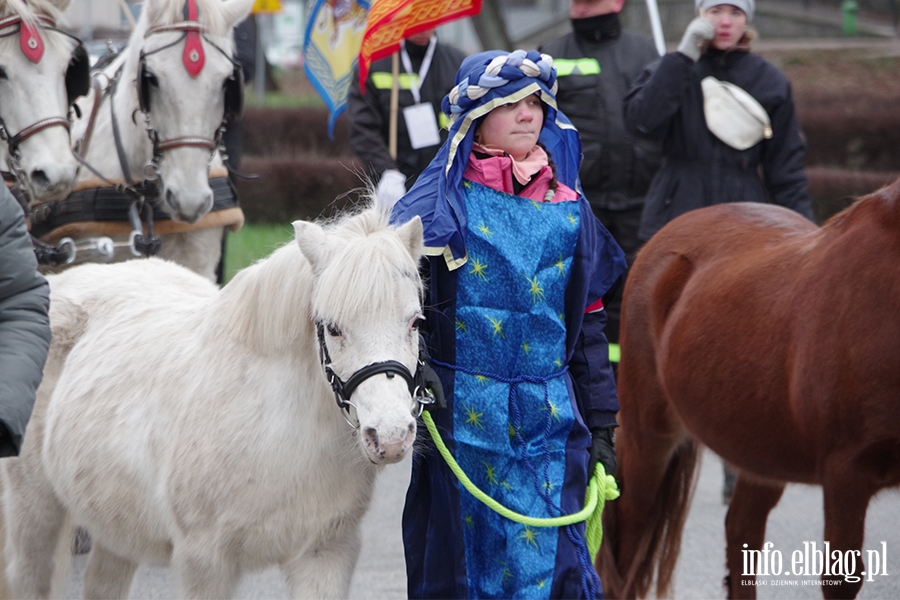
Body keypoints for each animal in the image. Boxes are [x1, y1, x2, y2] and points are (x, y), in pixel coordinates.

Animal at [0, 207, 428, 600]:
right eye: (334, 328)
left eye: (415, 322)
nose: (390, 437)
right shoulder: (205, 561)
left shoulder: (325, 553)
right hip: (35, 513)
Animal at [600, 176, 900, 596]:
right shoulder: (847, 475)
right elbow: (841, 577)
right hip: (649, 435)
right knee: (627, 541)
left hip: (761, 448)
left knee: (741, 531)